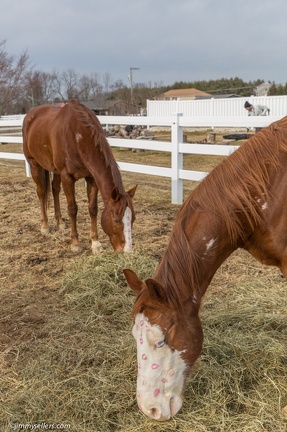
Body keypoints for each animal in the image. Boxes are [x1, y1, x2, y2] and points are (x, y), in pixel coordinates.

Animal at [22, 100, 137, 253]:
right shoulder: (67, 177)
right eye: (116, 220)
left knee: (55, 189)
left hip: (55, 170)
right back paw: (45, 226)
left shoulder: (91, 178)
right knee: (41, 193)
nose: (127, 250)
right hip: (34, 164)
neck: (77, 137)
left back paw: (60, 222)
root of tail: (30, 115)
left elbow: (93, 209)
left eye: (133, 218)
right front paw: (75, 243)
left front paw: (95, 243)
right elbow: (72, 209)